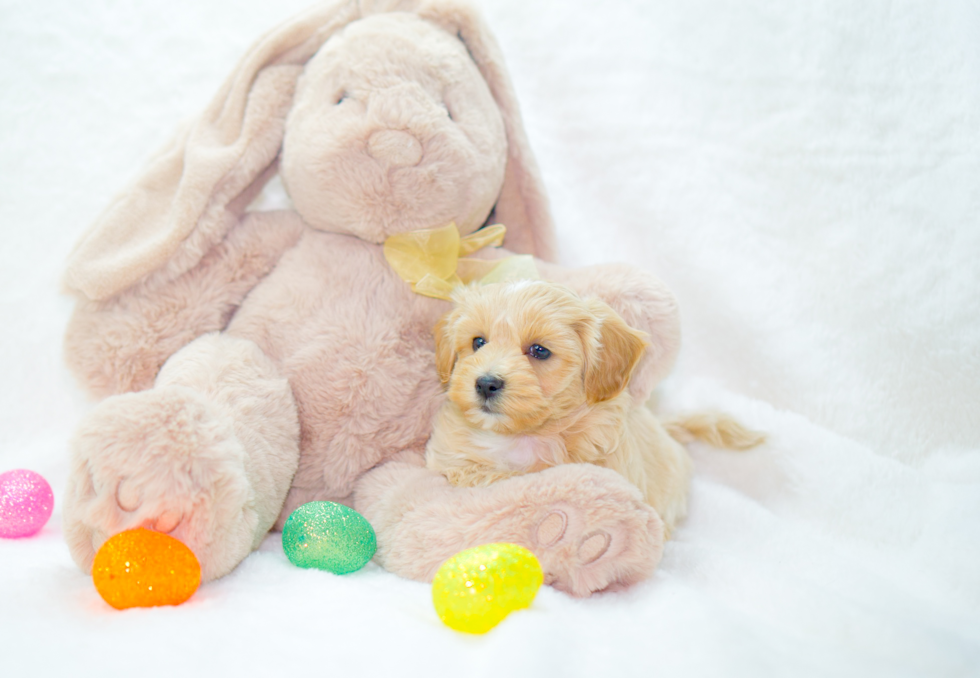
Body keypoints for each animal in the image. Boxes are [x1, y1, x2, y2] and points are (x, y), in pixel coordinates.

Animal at [424, 280, 760, 536]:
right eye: (478, 342)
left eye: (539, 350)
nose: (485, 383)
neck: (524, 436)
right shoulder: (452, 458)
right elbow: (473, 474)